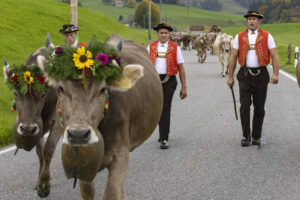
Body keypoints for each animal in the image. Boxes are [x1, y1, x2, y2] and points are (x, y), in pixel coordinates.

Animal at [3, 34, 61, 197]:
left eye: (43, 94)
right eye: (15, 93)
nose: (27, 129)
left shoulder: (58, 121)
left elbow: (48, 150)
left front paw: (44, 185)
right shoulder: (39, 127)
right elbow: (40, 152)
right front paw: (39, 182)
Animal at [37, 35, 164, 199]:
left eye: (103, 89)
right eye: (61, 88)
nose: (78, 134)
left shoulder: (120, 153)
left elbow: (112, 192)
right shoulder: (83, 164)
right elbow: (88, 192)